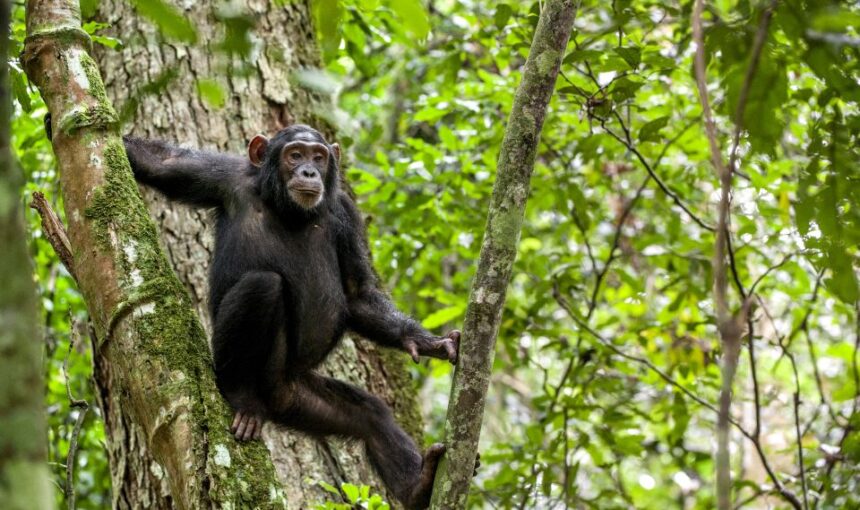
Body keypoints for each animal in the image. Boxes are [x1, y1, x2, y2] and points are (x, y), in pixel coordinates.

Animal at [123, 124, 460, 510]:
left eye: (319, 157)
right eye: (295, 155)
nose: (309, 172)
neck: (290, 210)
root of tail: (275, 399)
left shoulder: (346, 213)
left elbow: (357, 294)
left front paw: (424, 341)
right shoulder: (221, 175)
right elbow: (158, 162)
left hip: (300, 398)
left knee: (371, 417)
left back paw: (418, 485)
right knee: (262, 284)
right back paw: (241, 397)